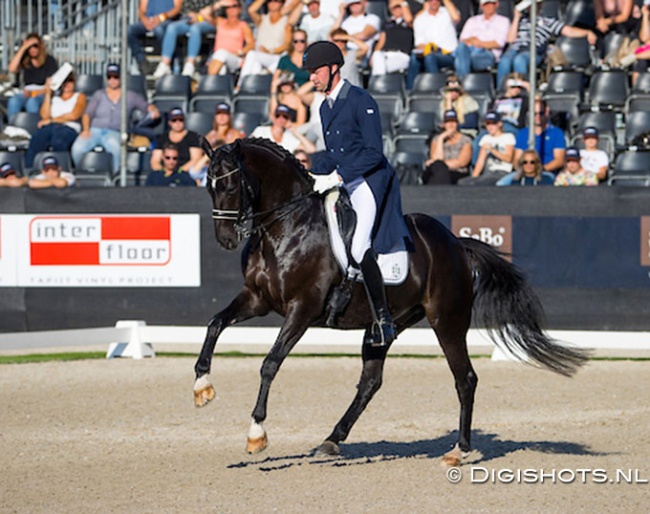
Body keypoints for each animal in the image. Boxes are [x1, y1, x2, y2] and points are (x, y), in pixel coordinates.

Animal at [194, 136, 588, 464]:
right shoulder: (257, 299)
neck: (287, 226)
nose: (226, 239)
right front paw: (202, 387)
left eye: (230, 185)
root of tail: (455, 243)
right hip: (386, 324)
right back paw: (332, 439)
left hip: (447, 320)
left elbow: (270, 363)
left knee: (465, 378)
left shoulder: (302, 309)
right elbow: (215, 323)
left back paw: (459, 450)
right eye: (208, 187)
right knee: (371, 382)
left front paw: (256, 433)